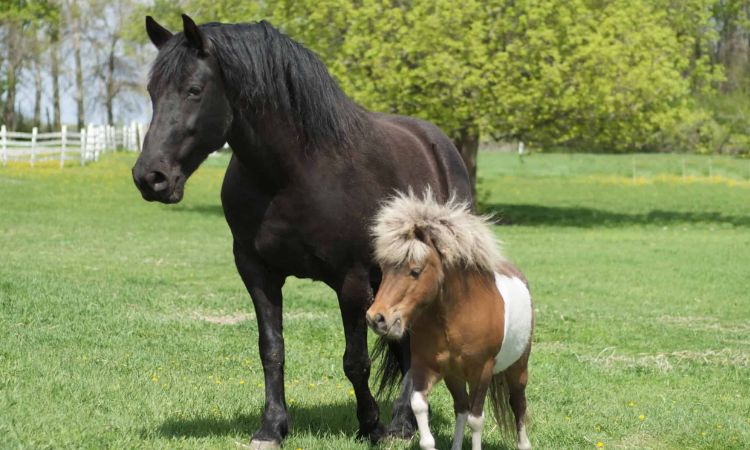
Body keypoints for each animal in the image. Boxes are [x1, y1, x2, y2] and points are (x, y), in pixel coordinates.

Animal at [131, 14, 472, 449]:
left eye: (194, 90)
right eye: (152, 92)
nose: (150, 177)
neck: (292, 173)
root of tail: (439, 146)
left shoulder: (352, 280)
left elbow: (355, 361)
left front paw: (371, 426)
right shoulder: (257, 272)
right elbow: (271, 349)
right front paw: (272, 427)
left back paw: (398, 424)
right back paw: (406, 421)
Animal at [366, 191, 534, 450]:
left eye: (415, 271)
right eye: (384, 269)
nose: (377, 318)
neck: (454, 321)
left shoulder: (481, 371)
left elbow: (477, 419)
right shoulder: (428, 368)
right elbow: (419, 405)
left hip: (518, 367)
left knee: (518, 404)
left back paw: (524, 444)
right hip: (454, 377)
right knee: (461, 408)